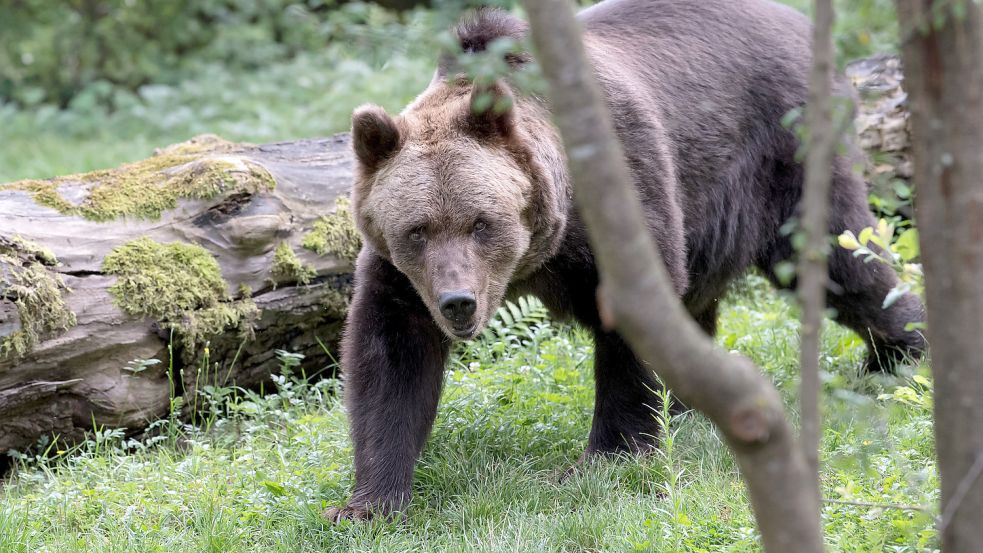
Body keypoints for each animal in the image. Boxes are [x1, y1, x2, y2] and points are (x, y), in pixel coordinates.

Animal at [326, 0, 928, 520]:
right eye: (418, 229)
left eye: (481, 222)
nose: (458, 302)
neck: (545, 245)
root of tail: (799, 22)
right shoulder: (399, 274)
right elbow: (390, 355)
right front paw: (367, 502)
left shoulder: (624, 192)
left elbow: (634, 330)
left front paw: (608, 455)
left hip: (787, 154)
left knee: (839, 259)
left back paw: (899, 354)